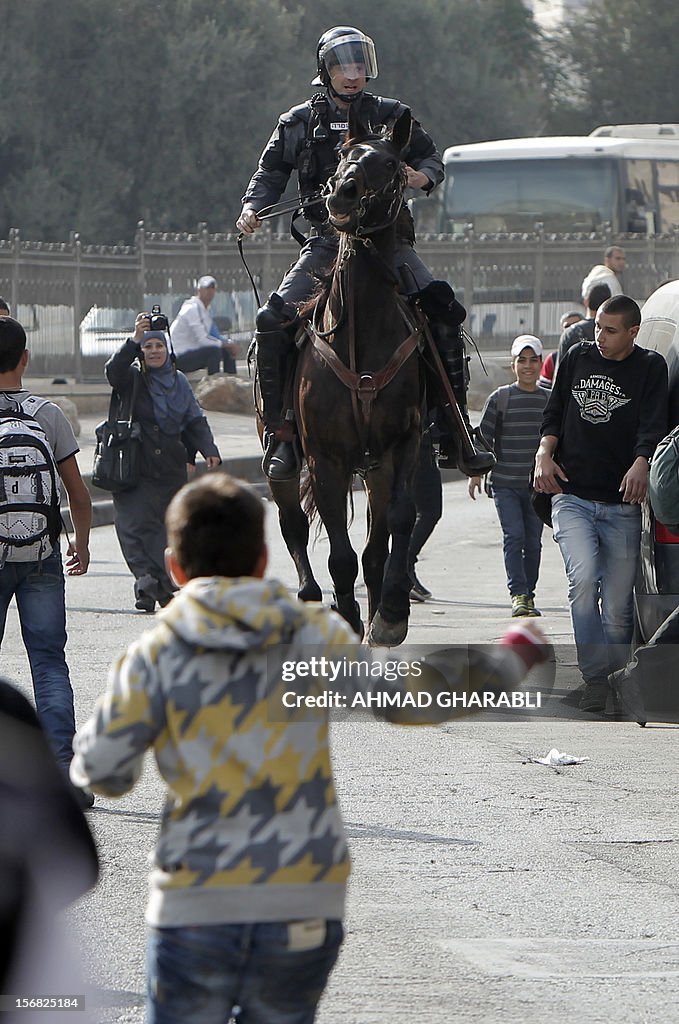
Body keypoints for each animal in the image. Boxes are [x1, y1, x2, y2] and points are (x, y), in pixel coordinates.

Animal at [266, 105, 426, 647]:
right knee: (292, 521)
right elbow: (339, 549)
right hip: (287, 458)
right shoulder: (326, 458)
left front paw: (390, 612)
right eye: (343, 156)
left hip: (374, 467)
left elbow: (396, 524)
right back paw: (312, 595)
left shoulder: (402, 445)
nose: (342, 193)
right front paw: (349, 615)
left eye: (392, 164)